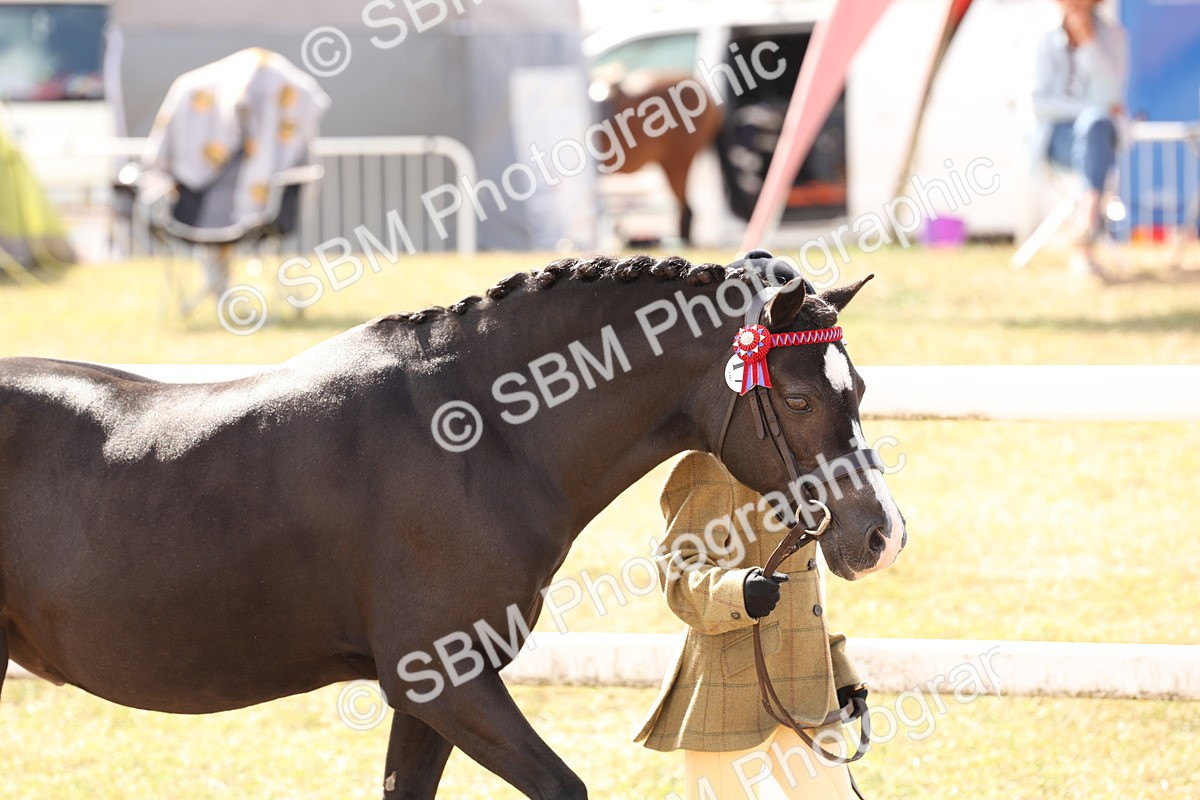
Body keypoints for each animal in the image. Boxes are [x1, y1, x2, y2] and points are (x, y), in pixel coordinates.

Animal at [0, 252, 906, 798]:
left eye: (859, 386)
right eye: (799, 398)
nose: (882, 535)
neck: (478, 435)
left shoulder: (429, 697)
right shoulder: (447, 682)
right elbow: (563, 786)